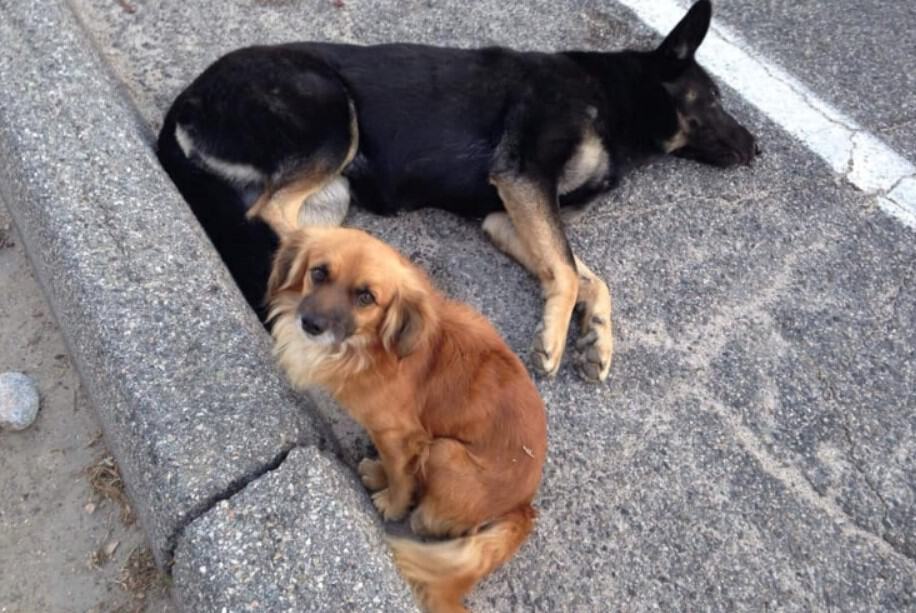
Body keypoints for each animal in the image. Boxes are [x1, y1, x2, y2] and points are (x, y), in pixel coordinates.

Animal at [159, 1, 760, 382]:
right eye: (713, 99)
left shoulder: (507, 214)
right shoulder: (524, 176)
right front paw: (554, 337)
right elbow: (569, 272)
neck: (610, 98)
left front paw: (597, 336)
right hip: (333, 118)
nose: (757, 149)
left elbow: (585, 276)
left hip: (334, 190)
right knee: (272, 212)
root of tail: (187, 99)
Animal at [268, 227, 548, 608]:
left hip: (445, 452)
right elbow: (396, 468)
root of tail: (523, 506)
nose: (311, 325)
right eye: (319, 273)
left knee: (430, 520)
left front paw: (392, 503)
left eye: (366, 297)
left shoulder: (397, 434)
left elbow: (402, 477)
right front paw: (379, 473)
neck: (369, 351)